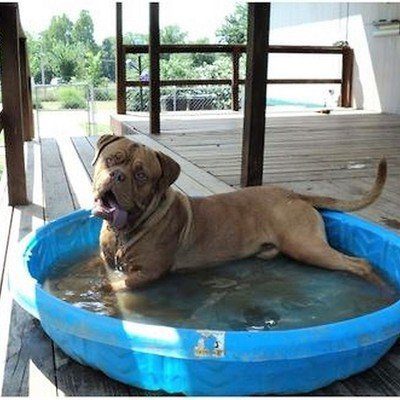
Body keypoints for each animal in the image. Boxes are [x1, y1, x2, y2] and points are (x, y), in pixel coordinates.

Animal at [92, 135, 386, 290]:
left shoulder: (147, 273)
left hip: (305, 245)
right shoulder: (105, 261)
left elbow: (115, 284)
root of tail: (293, 194)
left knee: (360, 263)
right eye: (111, 159)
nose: (116, 175)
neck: (123, 231)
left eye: (141, 175)